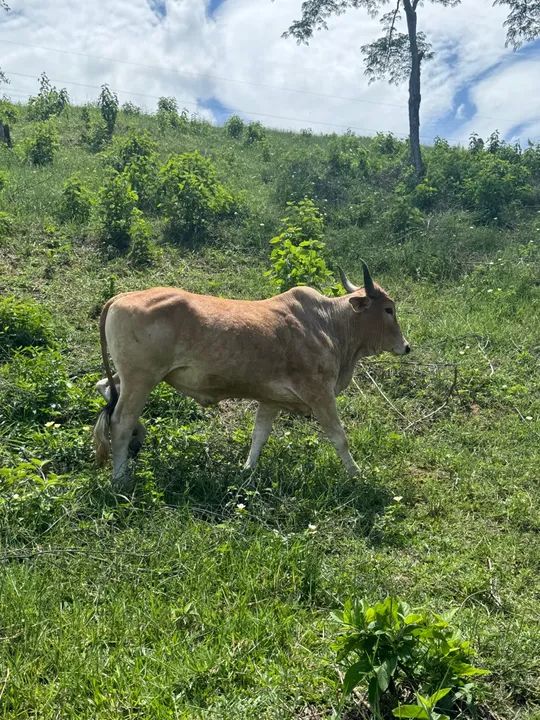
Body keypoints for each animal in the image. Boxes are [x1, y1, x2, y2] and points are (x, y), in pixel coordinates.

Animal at [93, 262, 410, 489]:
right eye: (388, 309)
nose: (406, 346)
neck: (328, 324)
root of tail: (121, 297)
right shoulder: (319, 393)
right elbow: (339, 436)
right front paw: (357, 475)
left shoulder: (270, 400)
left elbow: (259, 436)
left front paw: (247, 470)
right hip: (141, 379)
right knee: (120, 422)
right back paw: (120, 477)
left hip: (132, 377)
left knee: (104, 388)